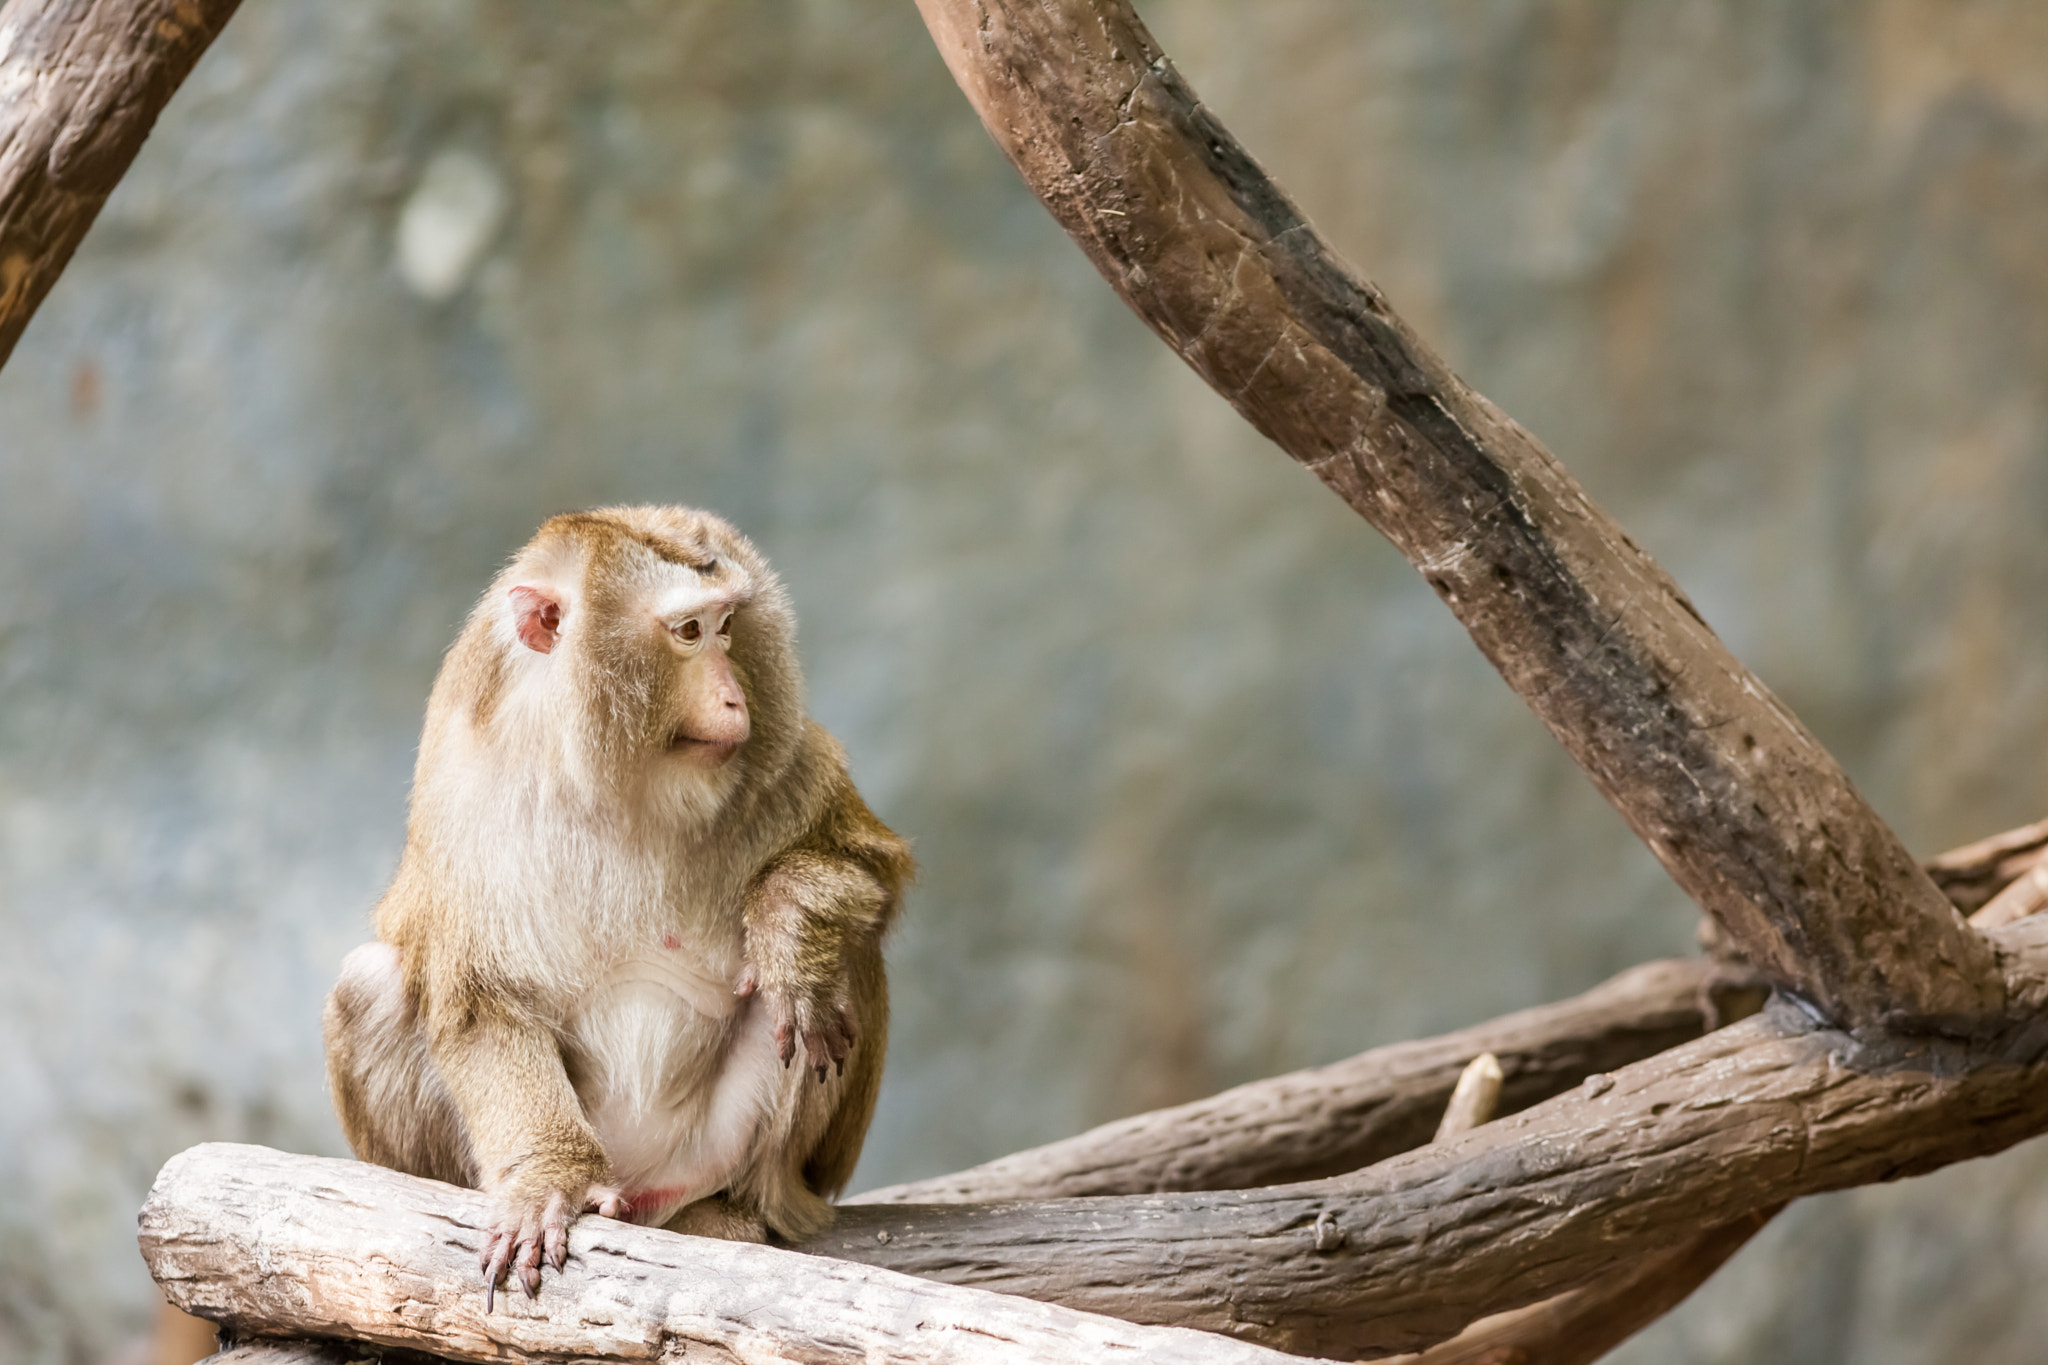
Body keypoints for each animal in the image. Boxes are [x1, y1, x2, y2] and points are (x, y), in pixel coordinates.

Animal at [321, 507, 913, 1309]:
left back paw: (737, 1203)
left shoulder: (785, 758)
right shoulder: (461, 781)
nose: (737, 700)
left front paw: (788, 926)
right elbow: (479, 999)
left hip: (706, 1153)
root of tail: (641, 1195)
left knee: (842, 957)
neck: (613, 776)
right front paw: (549, 1179)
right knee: (371, 984)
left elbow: (872, 869)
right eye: (688, 632)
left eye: (728, 625)